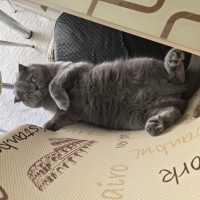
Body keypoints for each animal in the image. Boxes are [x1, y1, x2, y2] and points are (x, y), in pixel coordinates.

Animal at [13, 48, 200, 136]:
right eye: (29, 96)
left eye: (33, 79)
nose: (35, 88)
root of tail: (176, 93)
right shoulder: (70, 115)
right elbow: (56, 120)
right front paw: (45, 127)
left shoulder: (73, 67)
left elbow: (54, 84)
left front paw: (62, 100)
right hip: (139, 115)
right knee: (174, 111)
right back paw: (155, 125)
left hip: (144, 65)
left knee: (177, 78)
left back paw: (173, 60)